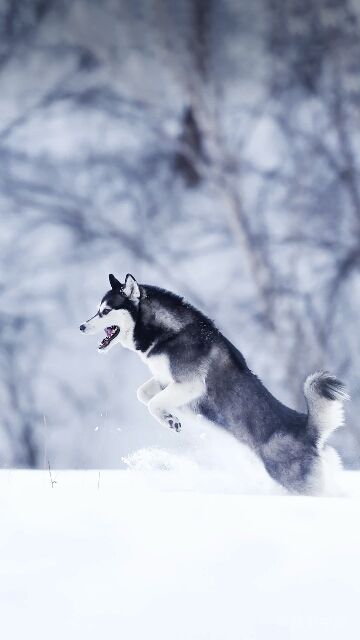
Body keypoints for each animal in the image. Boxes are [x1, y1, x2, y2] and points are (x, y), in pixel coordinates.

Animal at [80, 272, 348, 492]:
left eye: (105, 311)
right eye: (97, 309)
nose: (81, 326)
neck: (168, 332)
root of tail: (308, 430)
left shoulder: (190, 385)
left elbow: (153, 403)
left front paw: (170, 421)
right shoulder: (164, 381)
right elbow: (143, 394)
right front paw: (174, 416)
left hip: (296, 483)